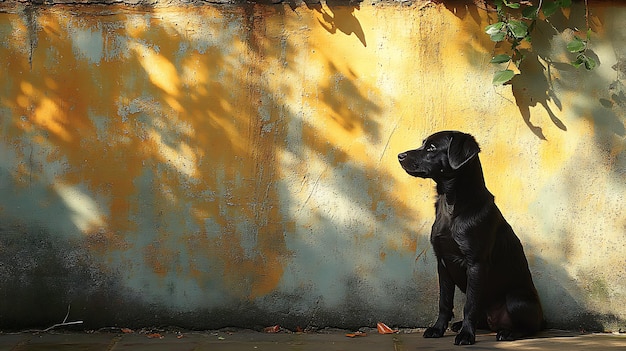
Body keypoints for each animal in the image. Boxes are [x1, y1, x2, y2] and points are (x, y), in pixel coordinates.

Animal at [400, 131, 540, 346]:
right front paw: (438, 329)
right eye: (423, 144)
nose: (400, 156)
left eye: (431, 148)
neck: (450, 205)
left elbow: (470, 305)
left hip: (516, 300)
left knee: (529, 328)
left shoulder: (475, 264)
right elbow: (444, 302)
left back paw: (508, 333)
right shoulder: (442, 263)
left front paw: (466, 335)